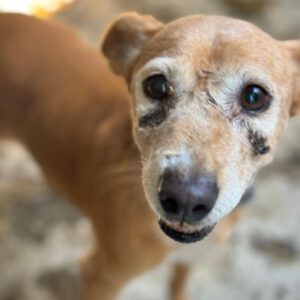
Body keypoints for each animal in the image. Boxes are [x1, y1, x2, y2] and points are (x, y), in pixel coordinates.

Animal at [0, 11, 298, 300]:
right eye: (157, 85)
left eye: (254, 96)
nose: (186, 199)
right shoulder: (101, 274)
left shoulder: (190, 259)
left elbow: (178, 284)